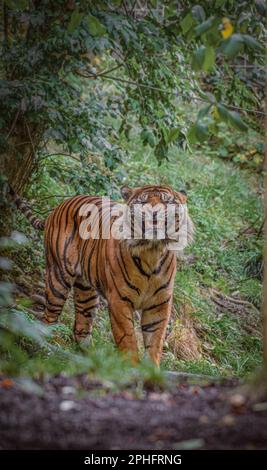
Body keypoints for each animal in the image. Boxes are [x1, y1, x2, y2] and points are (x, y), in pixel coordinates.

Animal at [9, 185, 195, 368]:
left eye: (167, 200)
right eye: (142, 201)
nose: (154, 212)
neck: (151, 251)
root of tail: (57, 207)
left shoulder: (159, 304)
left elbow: (154, 342)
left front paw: (151, 371)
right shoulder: (119, 300)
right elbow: (128, 338)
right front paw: (132, 369)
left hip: (87, 292)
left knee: (81, 327)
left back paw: (91, 360)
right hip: (58, 279)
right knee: (48, 319)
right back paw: (47, 351)